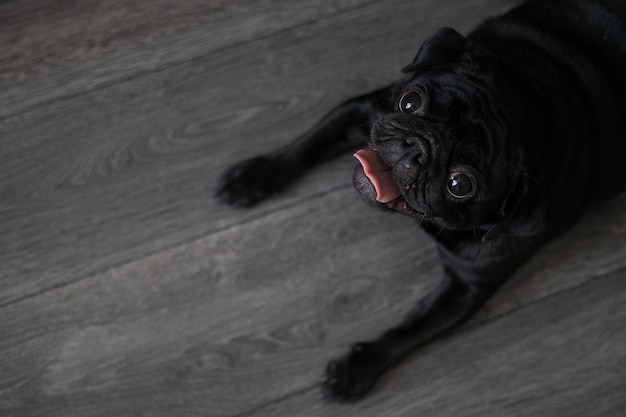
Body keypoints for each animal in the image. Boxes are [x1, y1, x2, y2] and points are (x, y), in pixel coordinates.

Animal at [216, 0, 624, 404]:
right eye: (410, 102)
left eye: (460, 184)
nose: (419, 148)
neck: (527, 106)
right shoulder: (363, 110)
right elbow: (308, 144)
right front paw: (257, 175)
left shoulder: (466, 288)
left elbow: (407, 332)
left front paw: (357, 369)